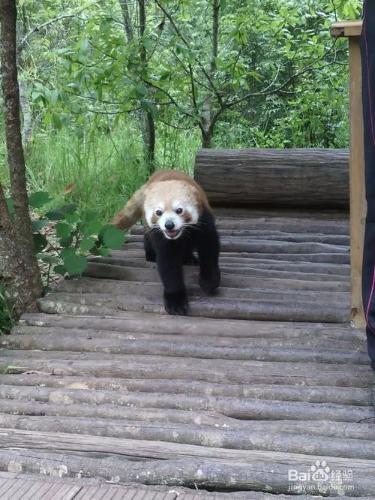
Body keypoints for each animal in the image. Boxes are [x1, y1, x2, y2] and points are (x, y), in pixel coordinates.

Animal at [113, 170, 222, 314]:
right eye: (158, 212)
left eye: (179, 210)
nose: (169, 225)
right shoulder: (162, 237)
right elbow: (168, 264)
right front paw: (175, 300)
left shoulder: (204, 222)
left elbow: (209, 250)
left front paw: (209, 281)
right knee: (148, 237)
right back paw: (151, 254)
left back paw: (188, 258)